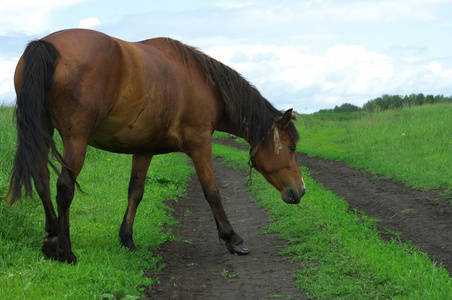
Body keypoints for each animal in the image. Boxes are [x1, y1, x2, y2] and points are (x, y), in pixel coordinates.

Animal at [7, 28, 304, 262]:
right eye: (291, 148)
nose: (300, 191)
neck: (204, 82)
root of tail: (46, 44)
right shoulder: (200, 144)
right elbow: (212, 191)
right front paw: (233, 239)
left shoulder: (144, 149)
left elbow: (135, 192)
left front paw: (127, 239)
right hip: (76, 140)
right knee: (64, 187)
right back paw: (65, 251)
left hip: (42, 131)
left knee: (42, 178)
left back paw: (51, 235)